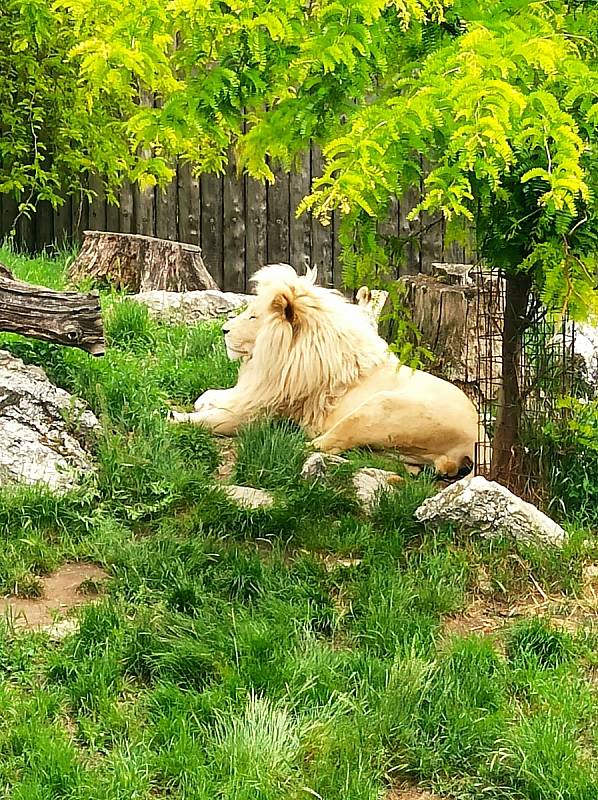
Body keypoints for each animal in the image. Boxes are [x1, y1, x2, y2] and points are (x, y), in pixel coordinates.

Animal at [171, 266, 480, 476]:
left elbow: (213, 420)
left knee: (319, 445)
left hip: (377, 407)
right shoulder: (257, 389)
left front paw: (176, 418)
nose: (224, 330)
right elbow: (219, 396)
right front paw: (203, 401)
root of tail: (478, 440)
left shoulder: (262, 408)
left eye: (253, 316)